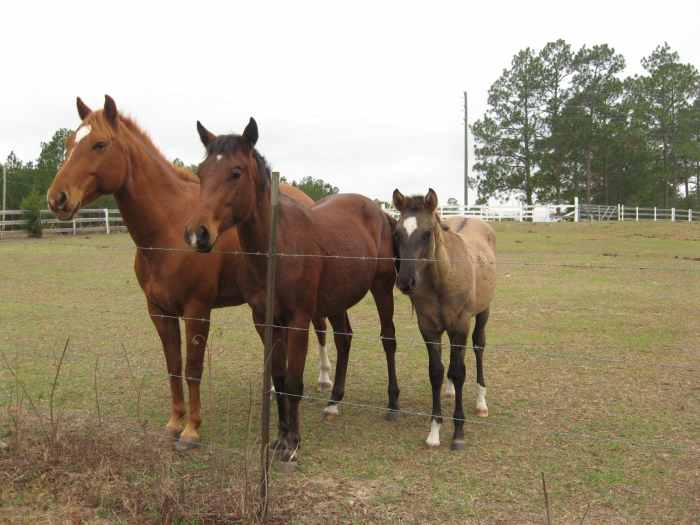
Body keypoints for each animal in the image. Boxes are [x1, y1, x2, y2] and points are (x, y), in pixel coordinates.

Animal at [46, 95, 334, 450]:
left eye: (99, 144)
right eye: (70, 143)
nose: (57, 198)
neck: (168, 229)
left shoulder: (197, 310)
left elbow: (193, 368)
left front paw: (192, 430)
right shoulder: (159, 311)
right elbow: (173, 366)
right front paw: (174, 423)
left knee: (321, 327)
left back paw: (324, 378)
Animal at [184, 118, 400, 461]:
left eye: (236, 172)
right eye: (202, 172)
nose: (198, 234)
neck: (276, 249)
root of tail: (379, 212)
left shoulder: (298, 320)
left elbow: (295, 382)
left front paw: (293, 444)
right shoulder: (265, 320)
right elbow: (279, 378)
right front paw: (280, 438)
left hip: (382, 288)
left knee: (388, 339)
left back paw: (393, 403)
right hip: (337, 300)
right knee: (344, 339)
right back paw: (334, 402)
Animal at [391, 188, 496, 450]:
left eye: (427, 233)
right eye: (396, 233)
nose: (405, 282)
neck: (442, 279)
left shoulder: (460, 326)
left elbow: (459, 372)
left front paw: (458, 432)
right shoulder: (429, 328)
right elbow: (436, 372)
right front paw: (434, 431)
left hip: (483, 312)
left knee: (479, 347)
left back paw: (481, 402)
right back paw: (450, 391)